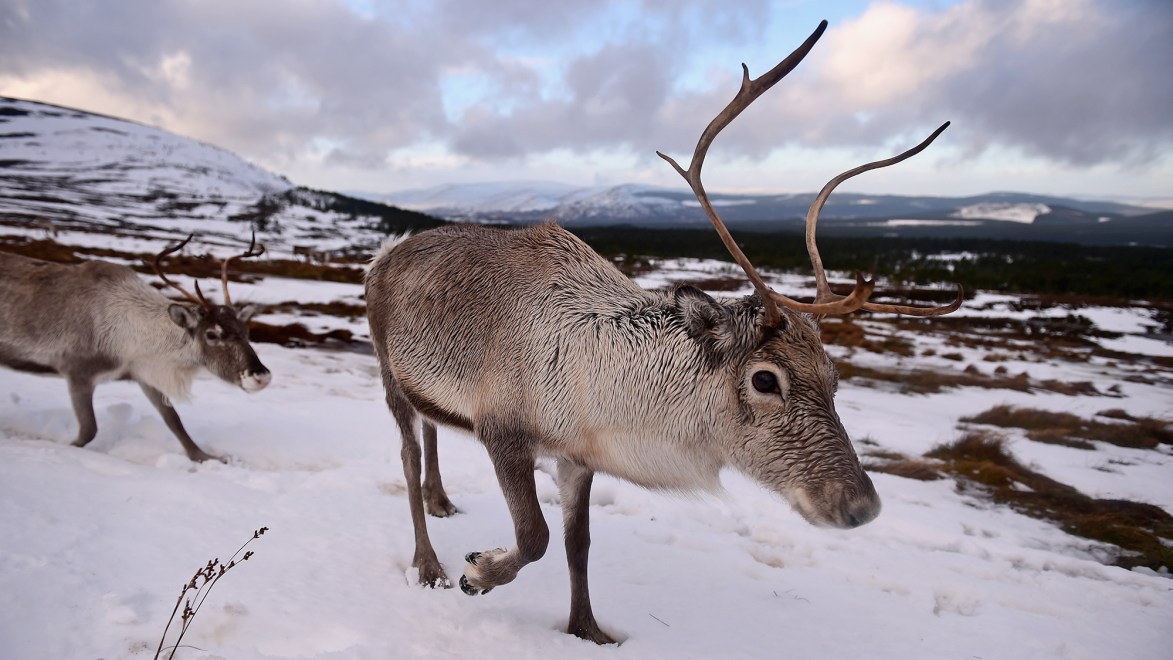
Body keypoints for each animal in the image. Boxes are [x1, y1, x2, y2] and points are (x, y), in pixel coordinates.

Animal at [0, 234, 271, 462]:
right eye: (211, 334)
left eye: (246, 331)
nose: (261, 376)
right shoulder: (77, 371)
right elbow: (88, 430)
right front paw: (57, 445)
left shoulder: (144, 374)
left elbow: (175, 421)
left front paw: (205, 457)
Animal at [364, 20, 961, 644]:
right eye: (764, 380)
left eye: (835, 378)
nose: (860, 505)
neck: (601, 389)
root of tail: (384, 254)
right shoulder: (503, 430)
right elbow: (536, 537)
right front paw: (477, 573)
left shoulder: (580, 458)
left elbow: (578, 544)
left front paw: (588, 631)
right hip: (388, 371)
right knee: (407, 455)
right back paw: (428, 563)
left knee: (431, 429)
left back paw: (441, 499)